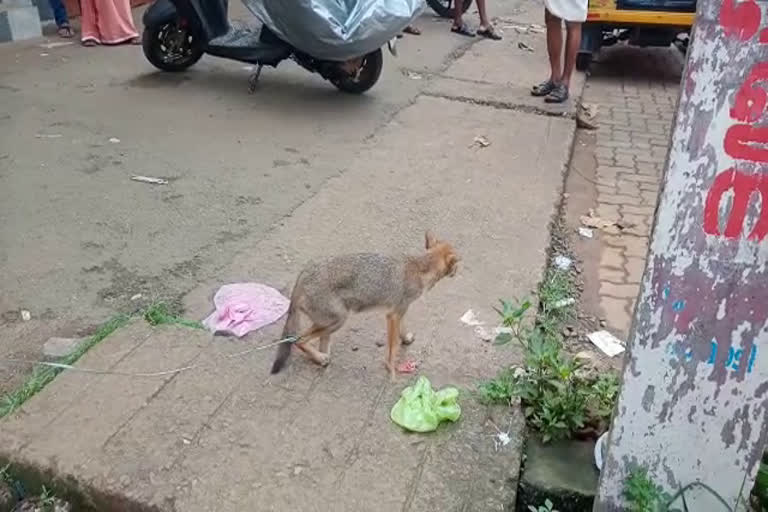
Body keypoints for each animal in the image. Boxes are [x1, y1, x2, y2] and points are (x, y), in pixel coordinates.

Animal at [270, 234, 460, 378]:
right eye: (457, 265)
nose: (458, 272)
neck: (420, 267)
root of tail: (304, 272)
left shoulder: (399, 311)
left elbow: (402, 331)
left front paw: (406, 339)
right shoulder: (393, 315)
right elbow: (392, 348)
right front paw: (391, 368)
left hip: (329, 326)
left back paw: (321, 358)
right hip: (338, 320)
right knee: (297, 339)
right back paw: (320, 358)